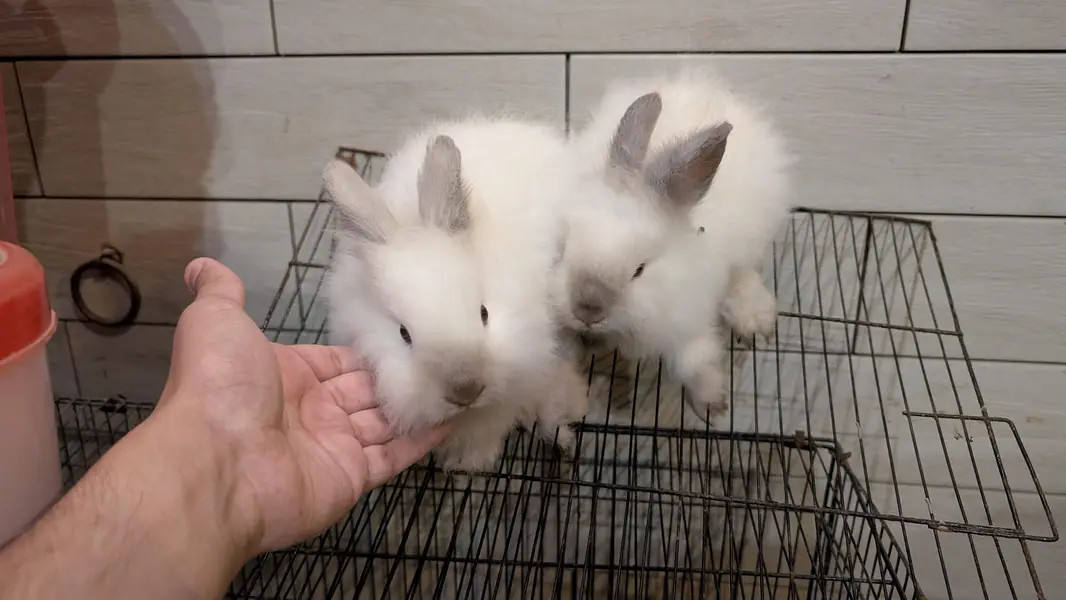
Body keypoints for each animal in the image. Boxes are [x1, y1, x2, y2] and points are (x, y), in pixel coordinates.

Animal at [551, 67, 793, 412]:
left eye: (639, 270)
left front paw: (713, 403)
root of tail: (700, 84)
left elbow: (693, 361)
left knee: (742, 273)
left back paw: (755, 319)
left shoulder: (686, 318)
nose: (587, 308)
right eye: (563, 248)